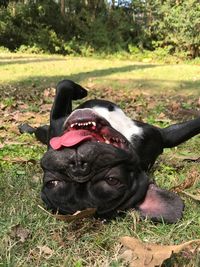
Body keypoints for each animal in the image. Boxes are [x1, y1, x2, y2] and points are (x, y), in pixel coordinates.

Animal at [20, 79, 200, 224]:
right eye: (51, 182)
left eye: (112, 180)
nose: (78, 166)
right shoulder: (58, 118)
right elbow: (64, 85)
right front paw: (81, 91)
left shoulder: (161, 136)